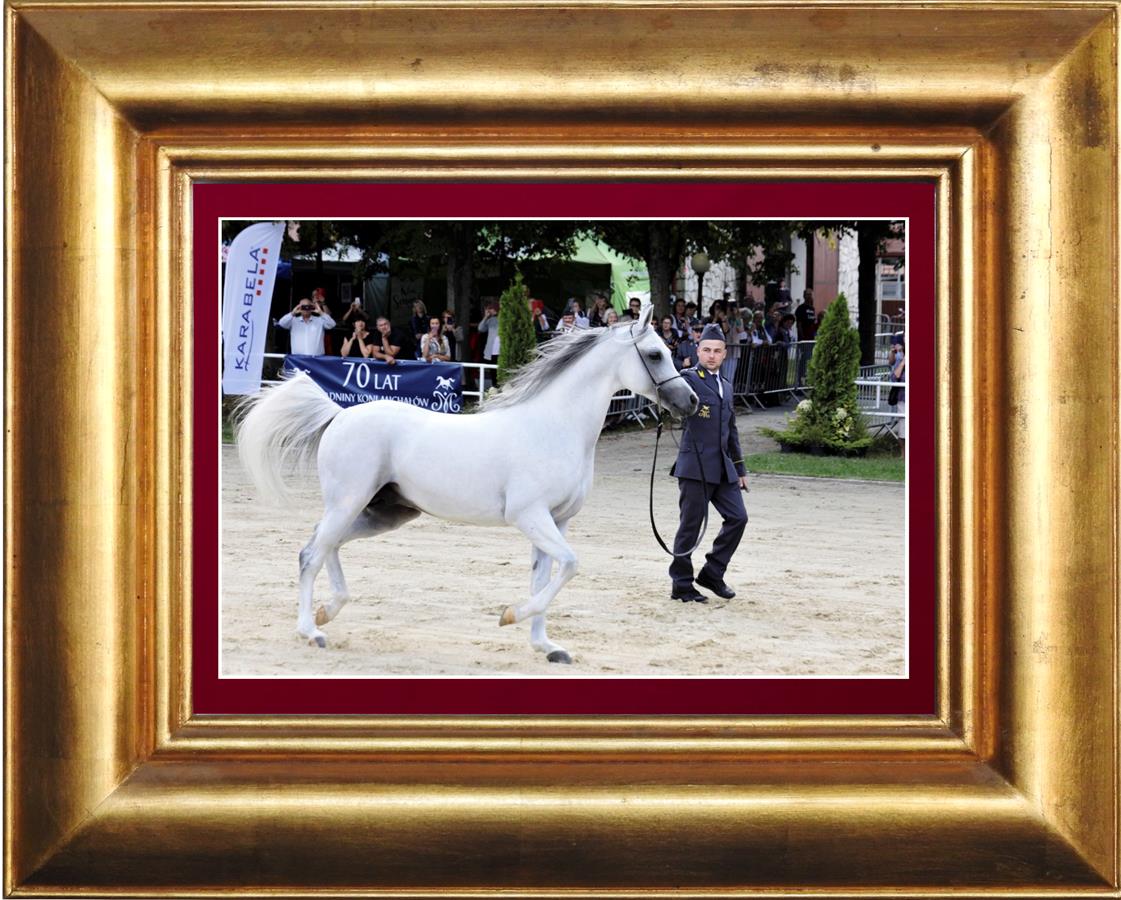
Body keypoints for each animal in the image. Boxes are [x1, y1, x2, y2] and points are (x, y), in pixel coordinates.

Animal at [235, 305, 698, 663]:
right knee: (311, 553)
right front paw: (510, 615)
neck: (555, 426)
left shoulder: (556, 522)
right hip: (350, 501)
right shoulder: (530, 517)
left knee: (325, 544)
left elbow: (546, 575)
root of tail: (339, 414)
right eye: (655, 354)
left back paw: (327, 612)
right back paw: (310, 631)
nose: (691, 402)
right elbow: (569, 565)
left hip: (383, 512)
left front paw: (546, 646)